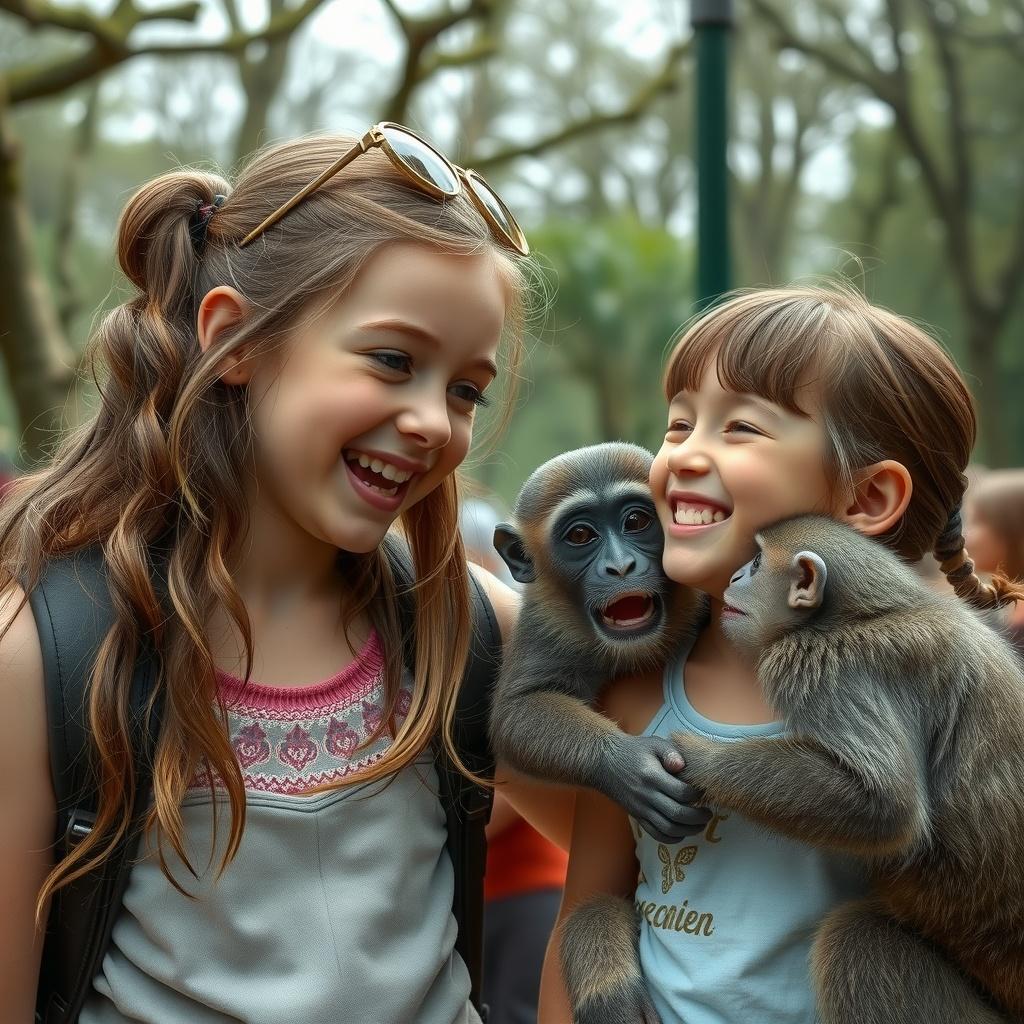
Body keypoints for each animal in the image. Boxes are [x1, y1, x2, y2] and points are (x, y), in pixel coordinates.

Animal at [490, 442, 711, 845]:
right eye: (580, 535)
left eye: (636, 521)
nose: (621, 566)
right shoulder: (544, 623)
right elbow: (518, 708)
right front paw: (627, 765)